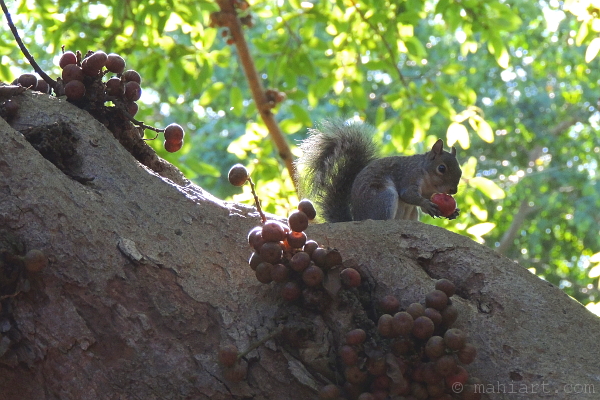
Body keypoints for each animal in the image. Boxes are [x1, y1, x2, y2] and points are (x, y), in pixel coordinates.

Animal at [296, 120, 464, 223]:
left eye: (460, 171)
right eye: (441, 168)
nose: (453, 190)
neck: (428, 181)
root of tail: (359, 218)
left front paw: (451, 212)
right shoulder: (409, 176)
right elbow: (408, 194)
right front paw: (426, 204)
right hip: (383, 197)